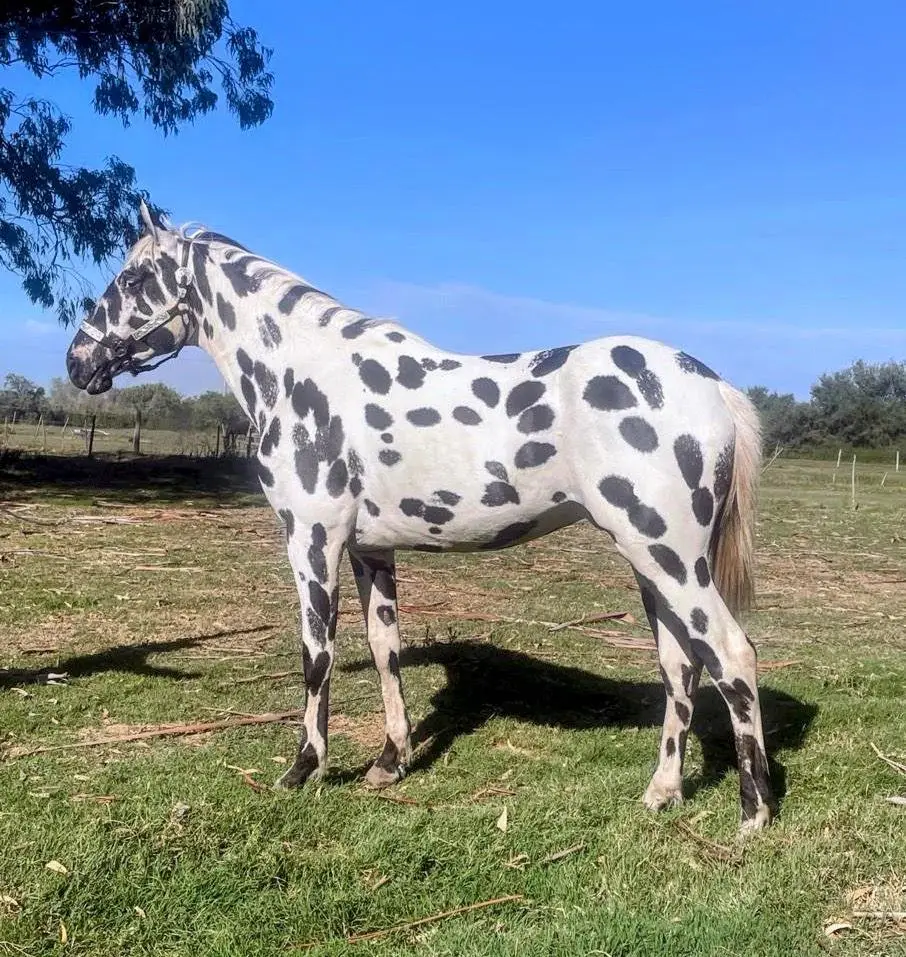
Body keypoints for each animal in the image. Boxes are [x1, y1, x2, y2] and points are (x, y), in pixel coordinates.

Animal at [66, 202, 775, 831]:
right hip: (653, 563)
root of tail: (712, 386)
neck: (302, 377)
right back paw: (663, 792)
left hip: (670, 556)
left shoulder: (312, 540)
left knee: (731, 654)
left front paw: (304, 769)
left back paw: (754, 811)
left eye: (133, 279)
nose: (78, 362)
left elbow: (316, 656)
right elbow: (386, 650)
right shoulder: (369, 549)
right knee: (681, 664)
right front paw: (389, 762)